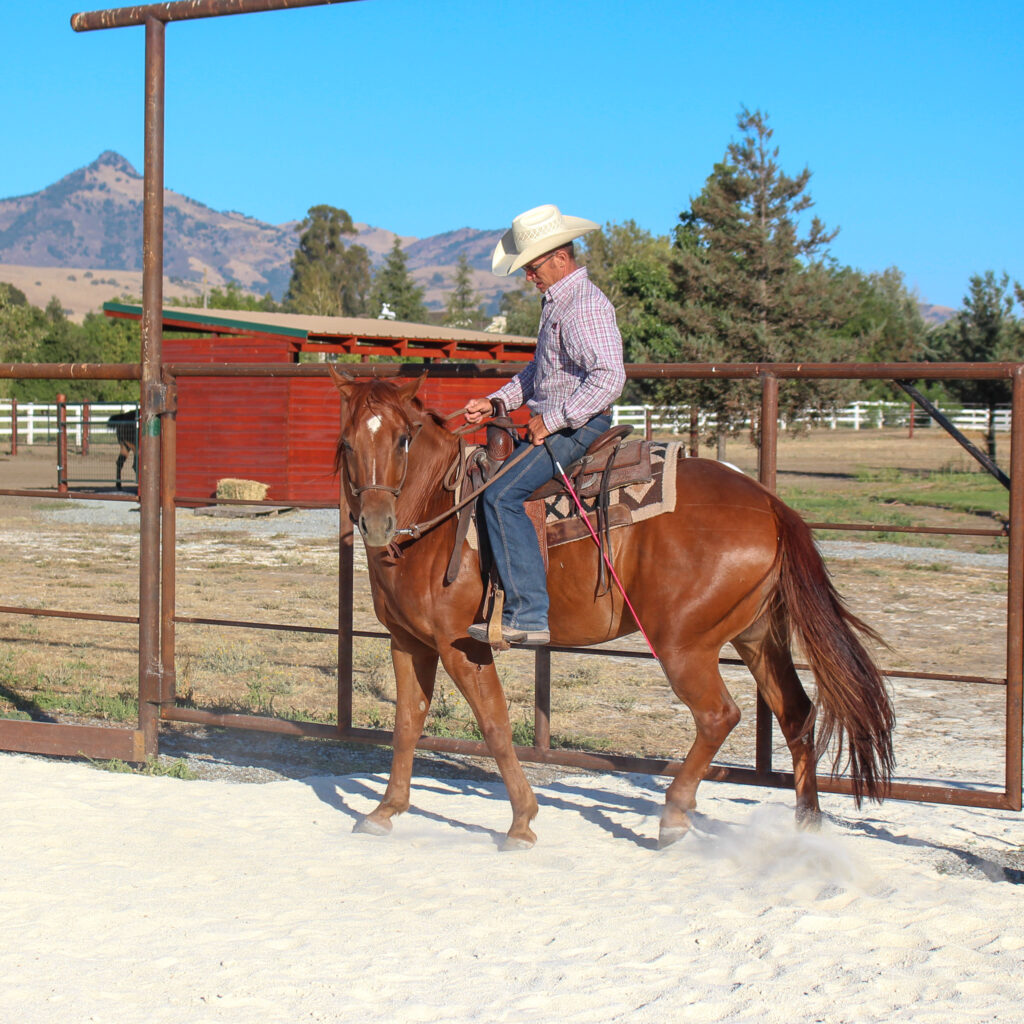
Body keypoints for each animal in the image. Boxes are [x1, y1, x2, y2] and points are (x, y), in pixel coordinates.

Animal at [330, 369, 895, 850]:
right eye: (347, 442)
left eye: (403, 439)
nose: (377, 523)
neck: (436, 512)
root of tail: (771, 505)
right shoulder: (409, 643)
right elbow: (407, 722)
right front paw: (384, 811)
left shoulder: (460, 645)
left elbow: (494, 725)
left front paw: (521, 822)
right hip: (757, 636)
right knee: (796, 713)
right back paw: (806, 826)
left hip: (684, 645)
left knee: (719, 715)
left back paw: (674, 817)